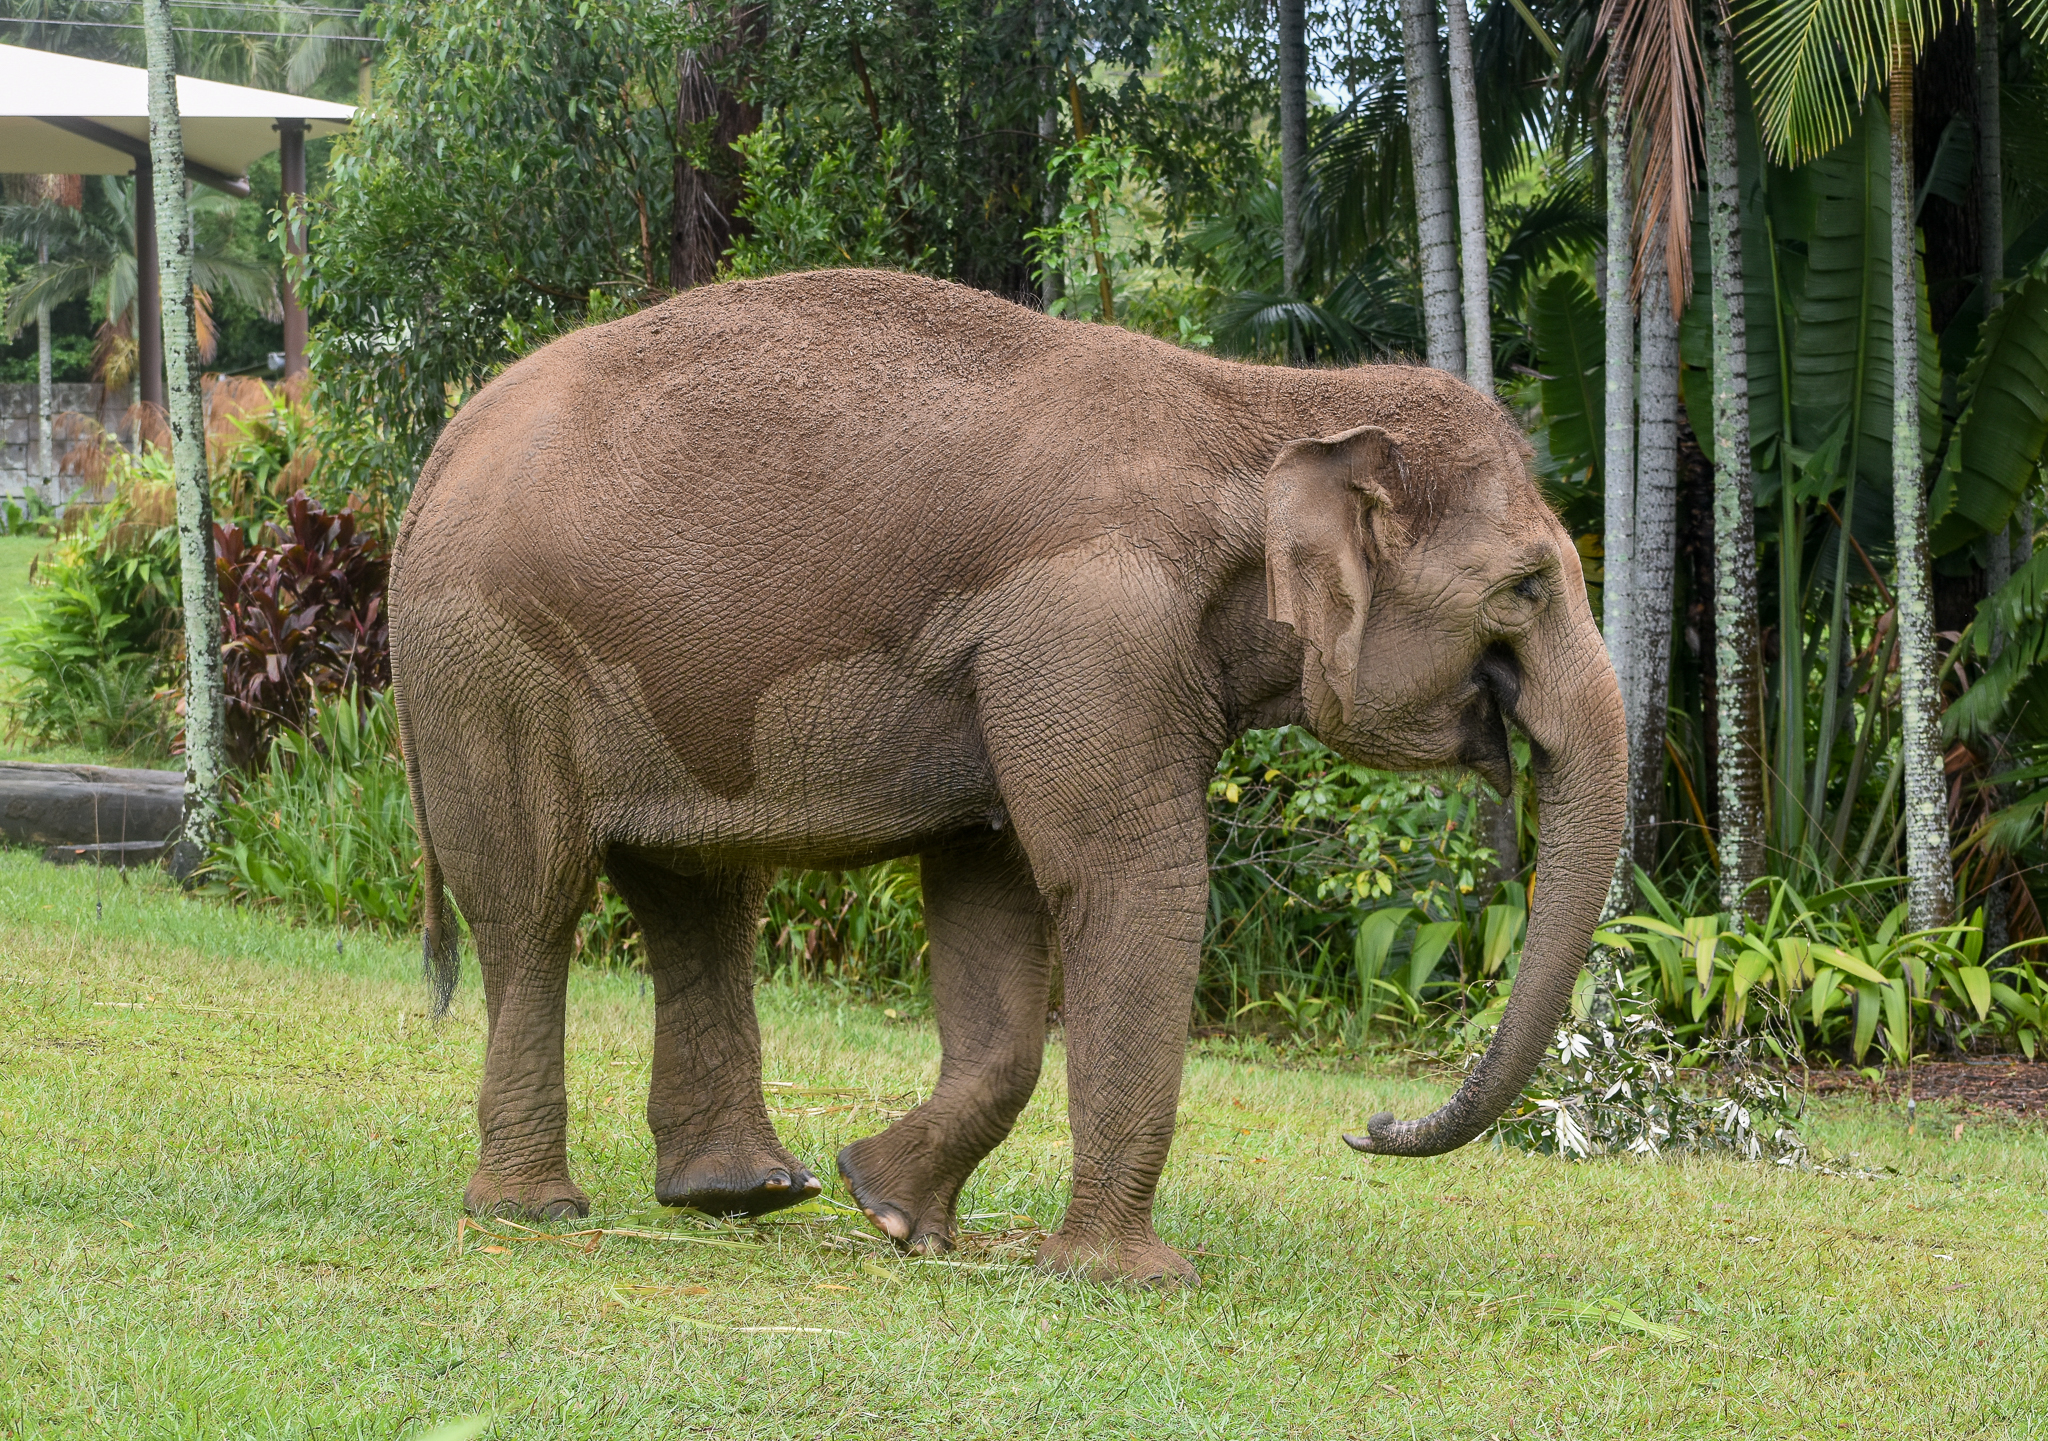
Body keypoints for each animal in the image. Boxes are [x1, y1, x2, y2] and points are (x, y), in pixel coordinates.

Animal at [389, 268, 1627, 1286]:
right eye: (1524, 586)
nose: (1369, 1125)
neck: (1267, 404)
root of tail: (440, 450)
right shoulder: (1083, 625)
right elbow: (1128, 883)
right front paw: (1130, 1279)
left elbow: (994, 889)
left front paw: (892, 1211)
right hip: (487, 663)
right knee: (535, 902)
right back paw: (534, 1211)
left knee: (695, 890)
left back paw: (745, 1193)